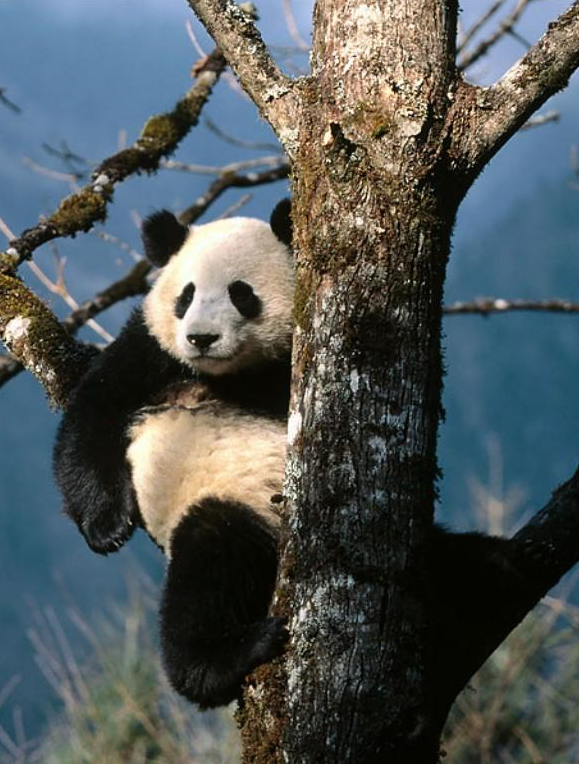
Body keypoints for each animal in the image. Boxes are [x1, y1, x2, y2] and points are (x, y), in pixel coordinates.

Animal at [53, 199, 294, 708]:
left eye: (241, 294)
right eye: (186, 296)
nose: (201, 338)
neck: (228, 374)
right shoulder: (151, 349)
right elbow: (92, 417)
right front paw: (107, 528)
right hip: (233, 505)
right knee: (211, 565)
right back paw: (226, 658)